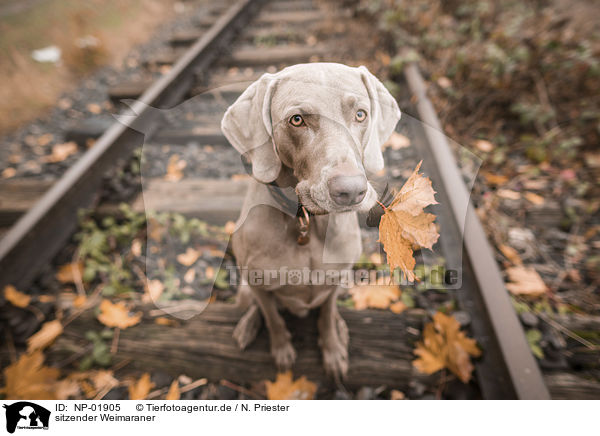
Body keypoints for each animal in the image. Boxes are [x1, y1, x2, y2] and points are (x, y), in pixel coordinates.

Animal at [219, 62, 398, 378]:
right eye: (297, 120)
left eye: (360, 114)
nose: (351, 191)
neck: (307, 223)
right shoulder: (258, 284)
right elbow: (273, 318)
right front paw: (281, 351)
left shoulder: (335, 279)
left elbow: (326, 314)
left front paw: (333, 350)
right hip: (244, 289)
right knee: (255, 307)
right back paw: (247, 327)